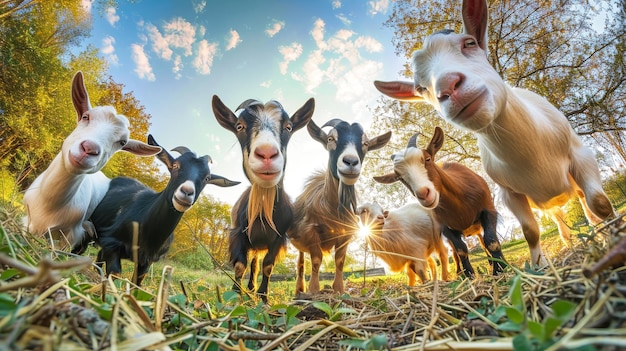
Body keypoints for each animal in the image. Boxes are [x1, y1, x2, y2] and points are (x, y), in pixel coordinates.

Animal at [23, 71, 162, 252]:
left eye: (122, 142)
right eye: (85, 116)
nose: (89, 148)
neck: (48, 205)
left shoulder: (73, 233)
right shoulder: (27, 220)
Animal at [85, 135, 236, 286]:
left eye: (207, 178)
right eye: (175, 165)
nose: (186, 192)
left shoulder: (147, 261)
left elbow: (137, 282)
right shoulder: (111, 242)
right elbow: (115, 273)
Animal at [212, 95, 314, 304]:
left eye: (289, 127)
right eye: (239, 126)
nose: (267, 154)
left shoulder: (279, 237)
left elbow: (267, 266)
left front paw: (263, 296)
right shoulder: (238, 233)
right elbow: (240, 265)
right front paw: (236, 293)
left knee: (256, 264)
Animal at [288, 119, 390, 296]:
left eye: (365, 143)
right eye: (330, 139)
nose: (351, 162)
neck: (332, 210)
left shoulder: (346, 234)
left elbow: (340, 261)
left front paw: (339, 290)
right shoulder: (311, 230)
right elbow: (316, 260)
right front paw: (314, 291)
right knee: (300, 263)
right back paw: (299, 290)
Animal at [370, 0, 616, 266]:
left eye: (469, 43)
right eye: (420, 88)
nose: (448, 87)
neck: (534, 155)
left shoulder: (581, 157)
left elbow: (600, 204)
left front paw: (614, 236)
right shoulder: (509, 194)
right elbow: (530, 231)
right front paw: (539, 265)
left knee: (585, 205)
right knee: (559, 220)